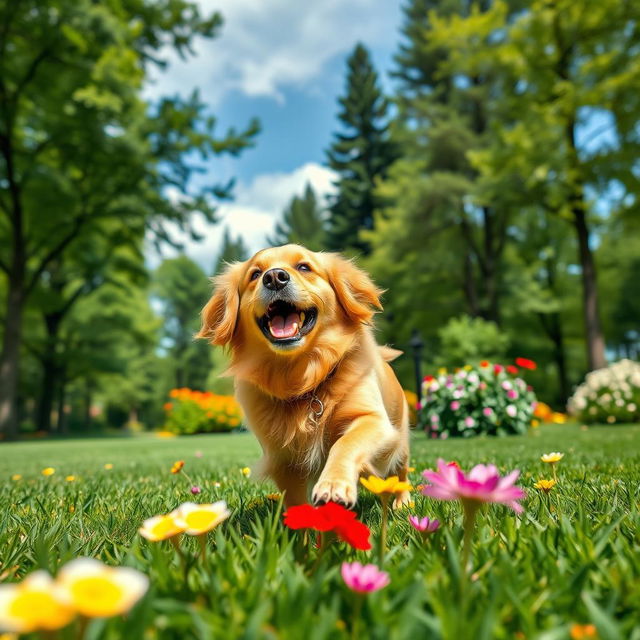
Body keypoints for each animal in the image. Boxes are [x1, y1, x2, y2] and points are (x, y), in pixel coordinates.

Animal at [196, 242, 410, 508]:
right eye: (255, 274)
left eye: (304, 267)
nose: (274, 277)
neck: (305, 379)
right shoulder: (282, 459)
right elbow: (295, 500)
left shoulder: (373, 420)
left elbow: (345, 443)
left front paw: (333, 485)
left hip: (400, 440)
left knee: (401, 472)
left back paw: (402, 502)